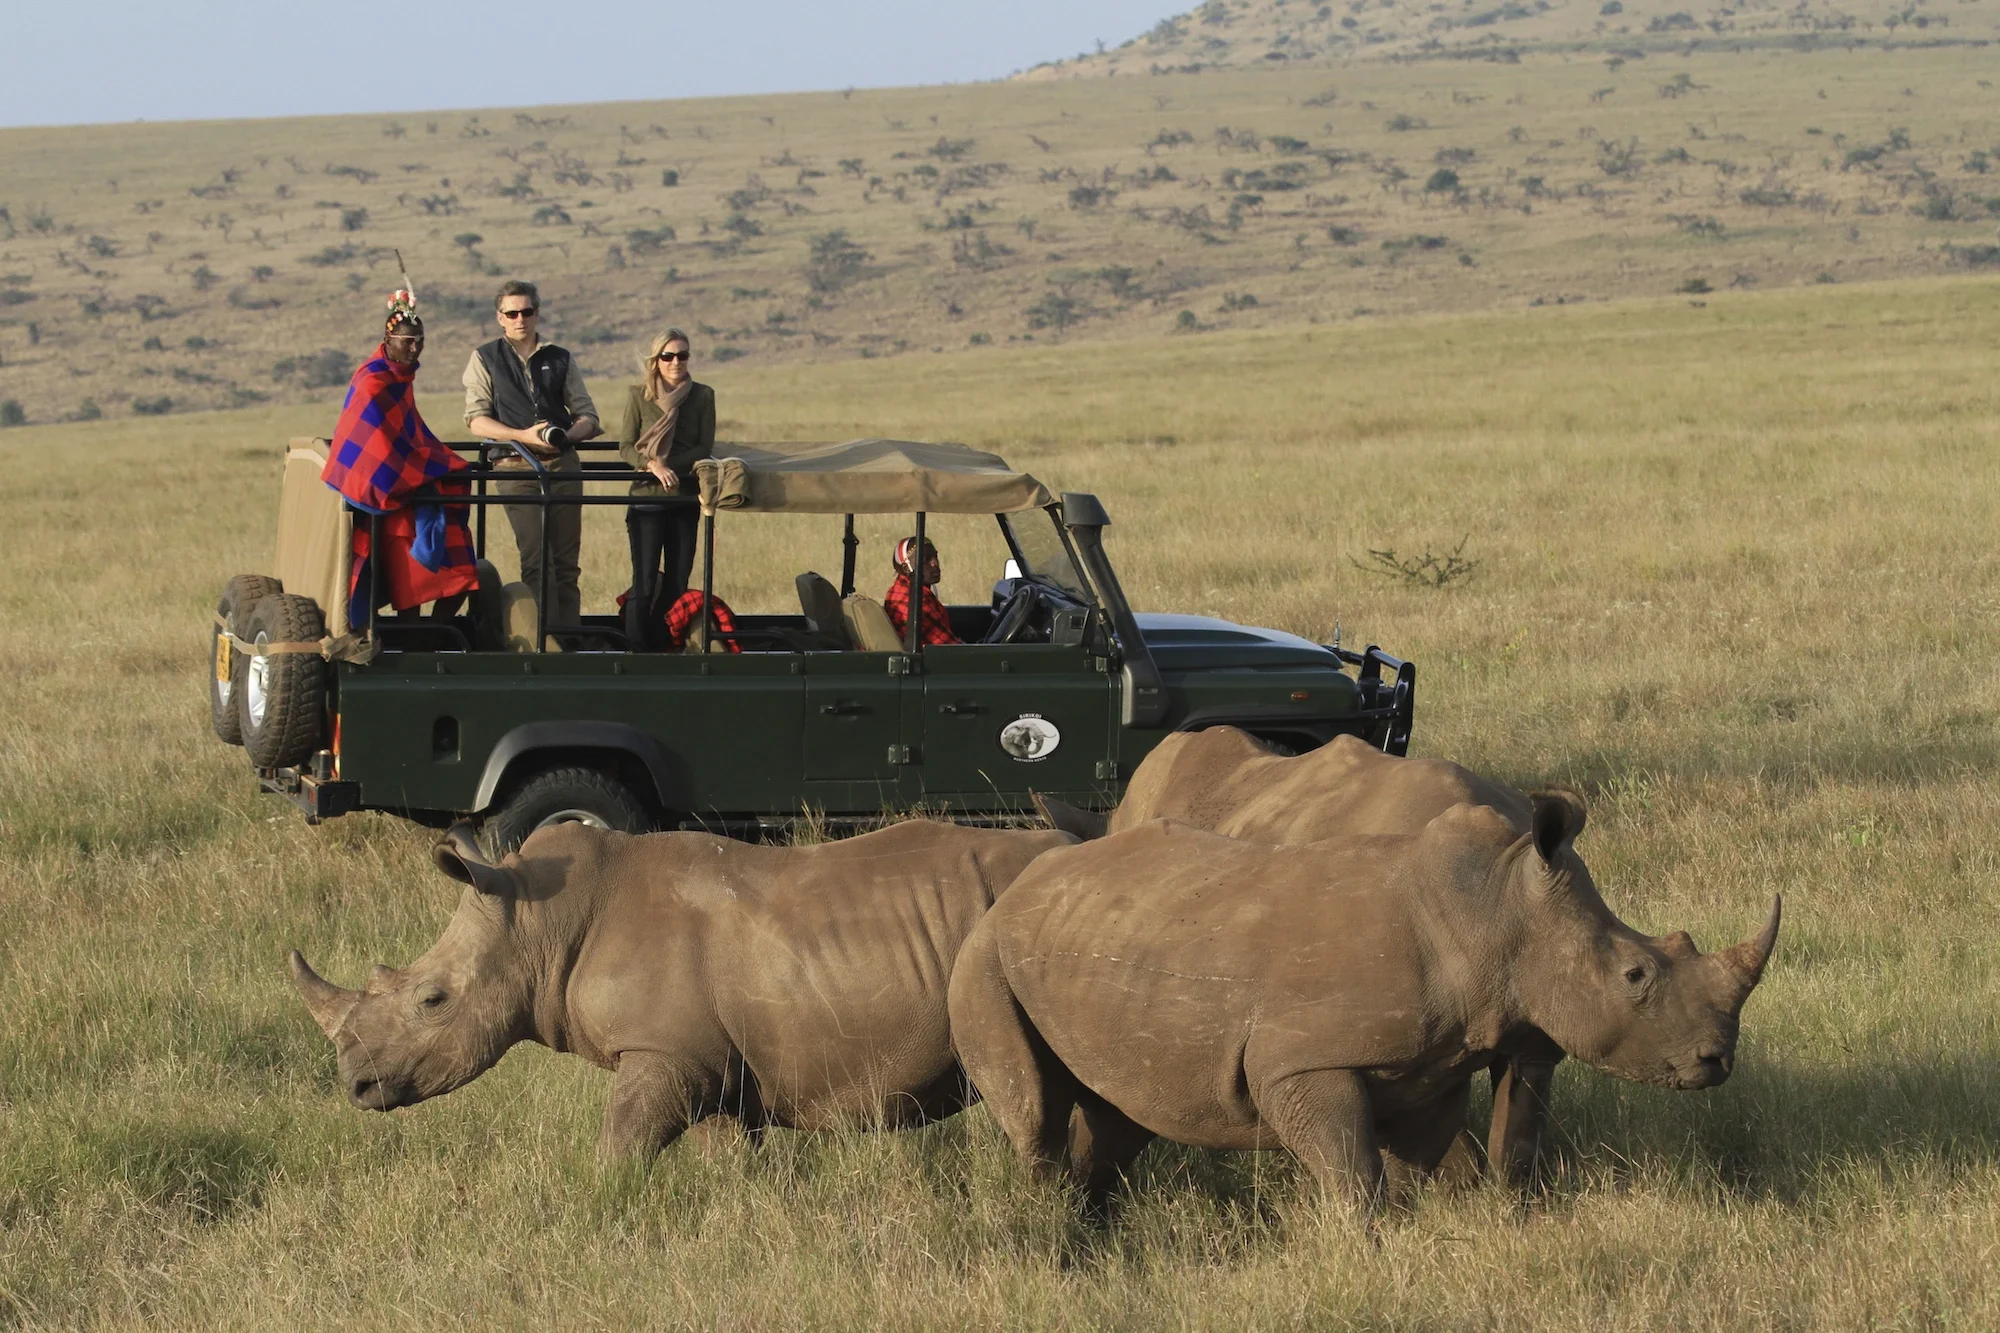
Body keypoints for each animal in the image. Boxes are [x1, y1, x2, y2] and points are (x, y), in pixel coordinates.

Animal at [290, 819, 1074, 1160]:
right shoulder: (713, 1063)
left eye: (432, 1000)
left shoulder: (666, 1053)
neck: (539, 923)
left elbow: (620, 1145)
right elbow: (730, 1159)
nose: (355, 1086)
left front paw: (603, 1208)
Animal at [950, 793, 1780, 1215]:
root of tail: (1018, 888)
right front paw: (1368, 1249)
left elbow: (1432, 1166)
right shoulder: (1300, 1061)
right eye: (1636, 975)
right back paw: (1049, 1231)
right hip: (983, 958)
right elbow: (1355, 1178)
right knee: (1034, 1113)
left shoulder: (1437, 1062)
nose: (1717, 1059)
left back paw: (1089, 1230)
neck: (1498, 910)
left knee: (1119, 1116)